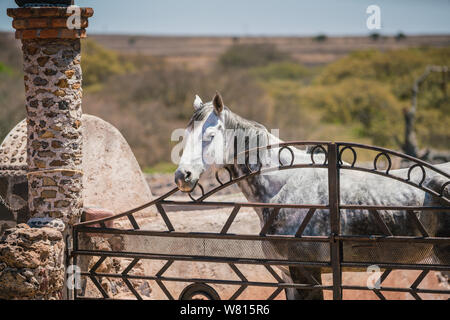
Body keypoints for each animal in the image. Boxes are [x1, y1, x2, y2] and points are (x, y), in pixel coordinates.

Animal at [174, 92, 448, 300]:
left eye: (209, 136)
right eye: (184, 136)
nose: (182, 176)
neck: (284, 184)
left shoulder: (306, 273)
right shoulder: (289, 276)